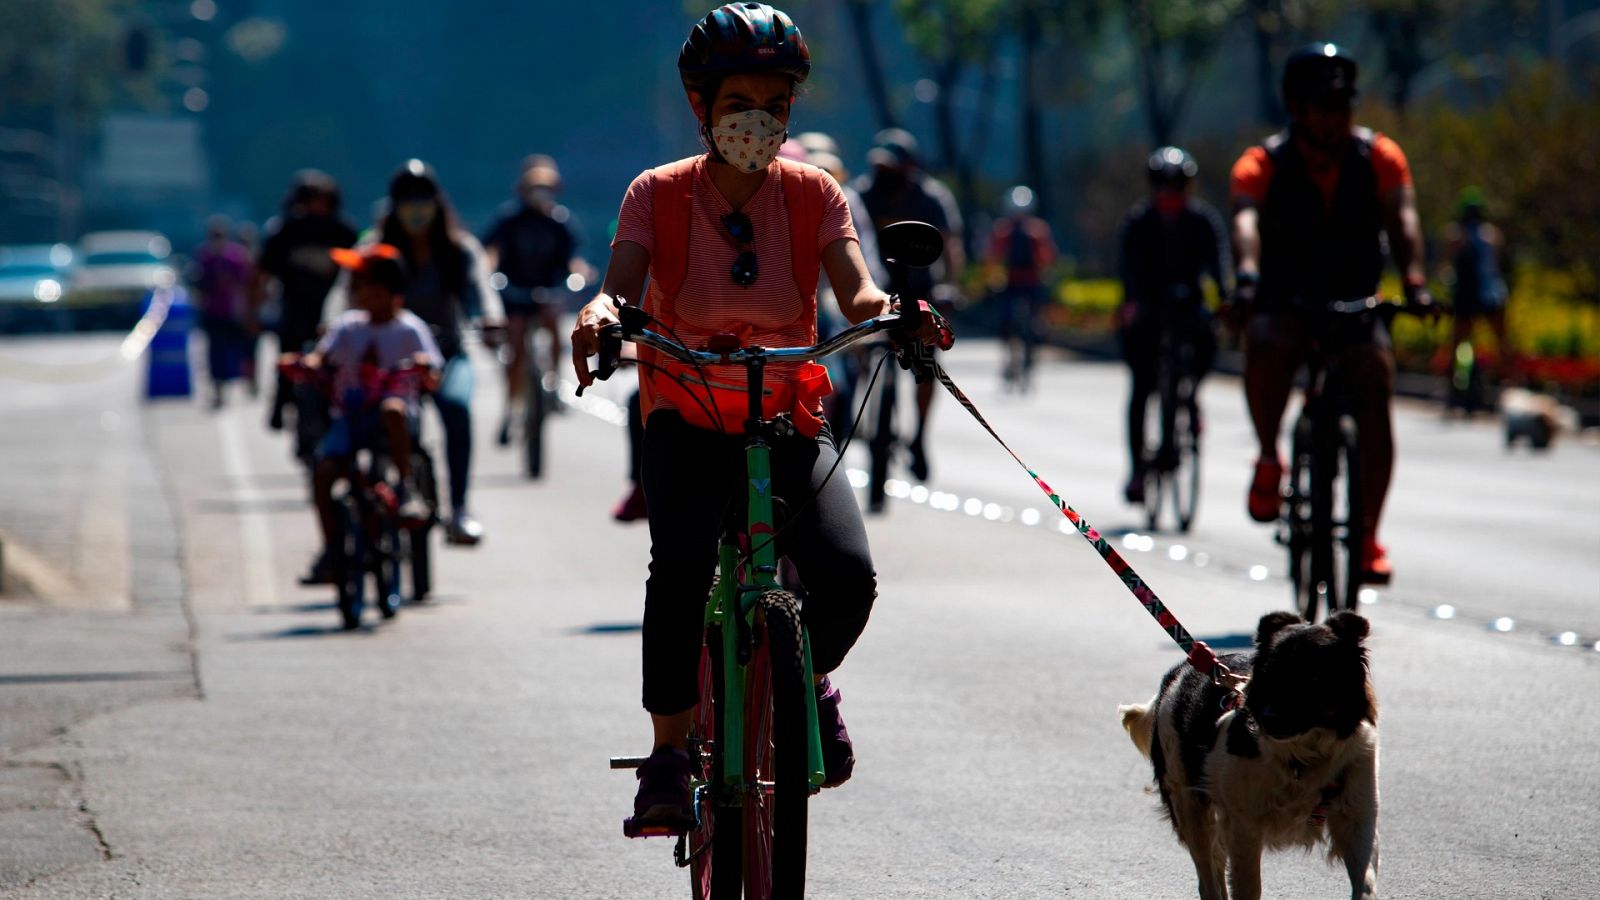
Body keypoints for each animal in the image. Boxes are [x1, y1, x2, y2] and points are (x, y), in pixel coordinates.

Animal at [1126, 605, 1376, 890]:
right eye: (1269, 674)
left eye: (1314, 676)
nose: (1268, 719)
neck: (1302, 758)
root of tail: (1179, 672)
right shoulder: (1243, 827)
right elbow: (1248, 884)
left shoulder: (1358, 817)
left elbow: (1365, 882)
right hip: (1189, 807)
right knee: (1208, 877)